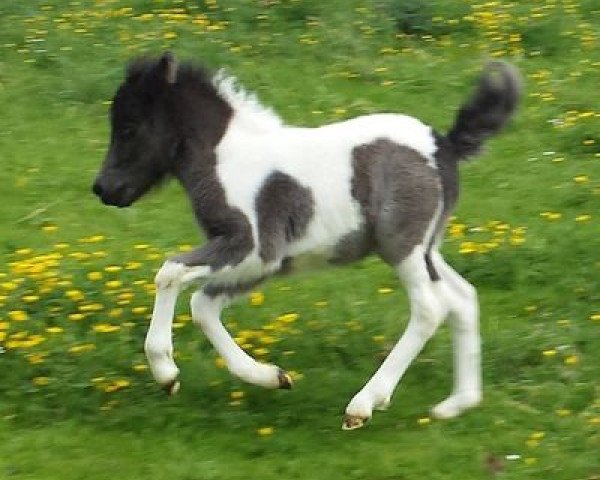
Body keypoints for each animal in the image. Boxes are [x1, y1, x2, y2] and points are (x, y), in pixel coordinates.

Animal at [94, 54, 520, 430]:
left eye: (129, 127)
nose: (103, 188)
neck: (225, 159)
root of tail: (444, 145)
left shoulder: (254, 248)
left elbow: (170, 273)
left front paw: (165, 372)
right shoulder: (262, 265)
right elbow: (203, 306)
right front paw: (273, 376)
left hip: (403, 246)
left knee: (431, 308)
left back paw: (364, 405)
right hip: (423, 247)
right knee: (462, 297)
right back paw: (458, 403)